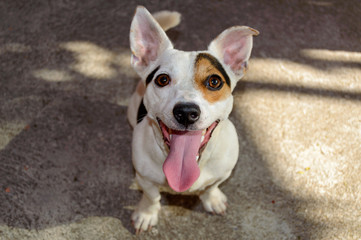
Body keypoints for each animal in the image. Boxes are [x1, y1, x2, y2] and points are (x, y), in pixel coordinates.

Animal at [126, 5, 256, 233]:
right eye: (162, 79)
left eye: (214, 81)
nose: (186, 112)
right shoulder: (145, 177)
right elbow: (151, 197)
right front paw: (146, 214)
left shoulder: (223, 172)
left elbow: (212, 186)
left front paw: (212, 199)